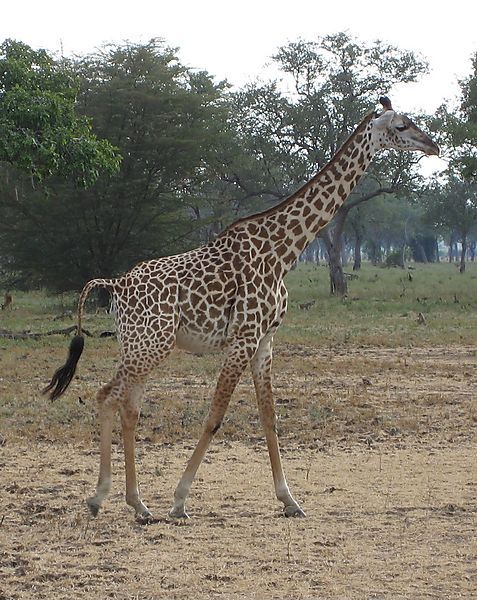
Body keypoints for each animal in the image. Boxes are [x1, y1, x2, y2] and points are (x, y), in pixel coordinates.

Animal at [44, 96, 438, 516]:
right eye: (401, 126)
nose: (433, 145)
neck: (283, 252)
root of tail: (115, 285)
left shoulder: (265, 340)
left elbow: (270, 417)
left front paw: (290, 500)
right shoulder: (244, 337)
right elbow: (215, 417)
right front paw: (180, 500)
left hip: (139, 346)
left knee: (128, 407)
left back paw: (138, 505)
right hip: (150, 346)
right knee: (108, 397)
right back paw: (101, 497)